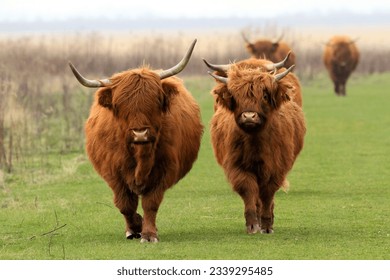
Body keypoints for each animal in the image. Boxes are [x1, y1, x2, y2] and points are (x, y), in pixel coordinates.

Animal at [203, 52, 306, 234]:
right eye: (236, 96)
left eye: (264, 96)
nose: (249, 116)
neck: (255, 141)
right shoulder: (237, 166)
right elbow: (249, 190)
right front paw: (252, 225)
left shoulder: (276, 167)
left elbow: (267, 193)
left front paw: (267, 225)